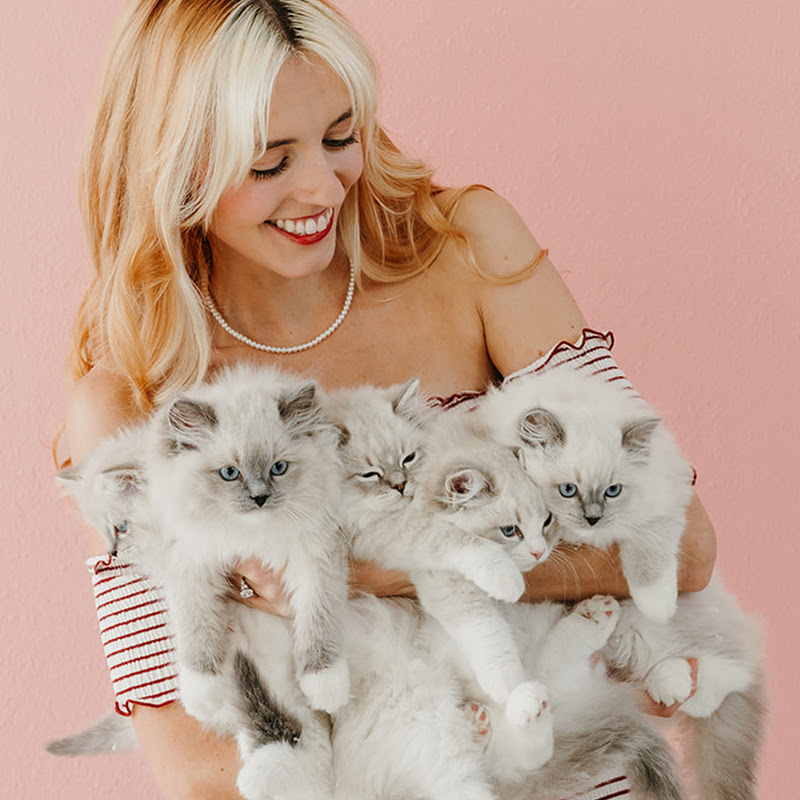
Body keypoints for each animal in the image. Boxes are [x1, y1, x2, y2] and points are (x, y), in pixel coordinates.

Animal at [480, 368, 695, 623]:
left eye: (612, 491)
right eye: (568, 490)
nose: (593, 519)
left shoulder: (662, 507)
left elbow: (649, 554)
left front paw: (658, 611)